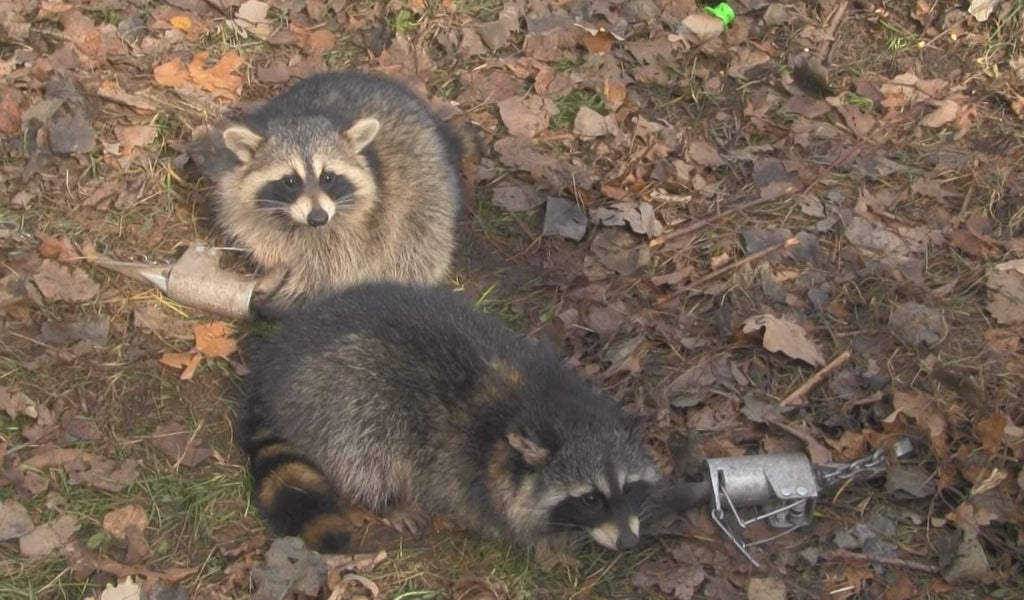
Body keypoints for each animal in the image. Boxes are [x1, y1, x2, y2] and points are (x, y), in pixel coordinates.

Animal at [189, 71, 464, 317]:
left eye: (328, 178)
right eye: (290, 180)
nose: (318, 218)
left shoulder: (363, 227)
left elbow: (333, 267)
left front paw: (292, 295)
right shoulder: (243, 200)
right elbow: (260, 235)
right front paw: (274, 269)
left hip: (426, 196)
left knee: (416, 247)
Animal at [243, 282, 667, 552]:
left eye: (629, 488)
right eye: (590, 499)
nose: (629, 543)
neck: (549, 403)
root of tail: (273, 367)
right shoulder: (471, 472)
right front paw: (553, 543)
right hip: (338, 394)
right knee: (364, 448)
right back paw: (387, 498)